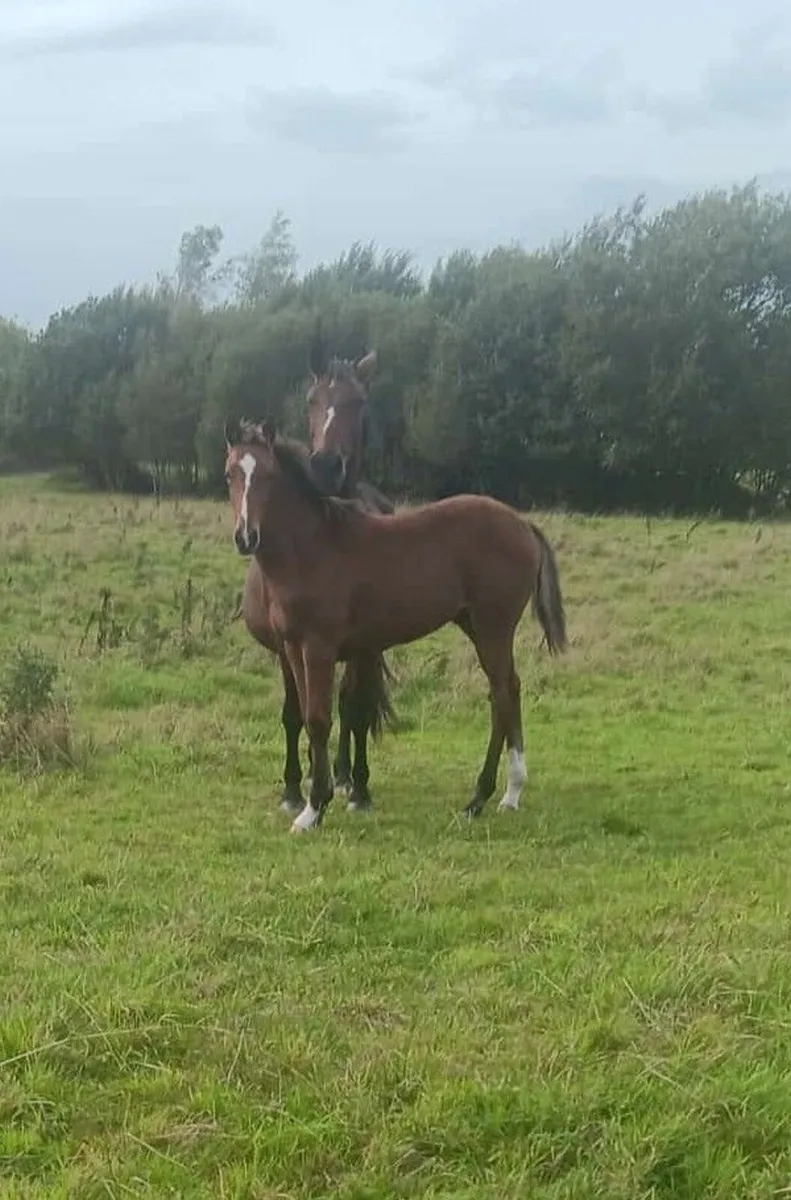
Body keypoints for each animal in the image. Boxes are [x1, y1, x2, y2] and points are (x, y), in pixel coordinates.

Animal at [224, 420, 567, 834]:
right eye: (229, 474)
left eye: (269, 476)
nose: (246, 537)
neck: (311, 549)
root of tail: (523, 525)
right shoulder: (292, 647)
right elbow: (305, 717)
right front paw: (317, 798)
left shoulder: (319, 647)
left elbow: (320, 720)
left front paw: (314, 808)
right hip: (475, 625)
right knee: (504, 693)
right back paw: (497, 796)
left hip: (493, 627)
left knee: (504, 692)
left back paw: (493, 794)